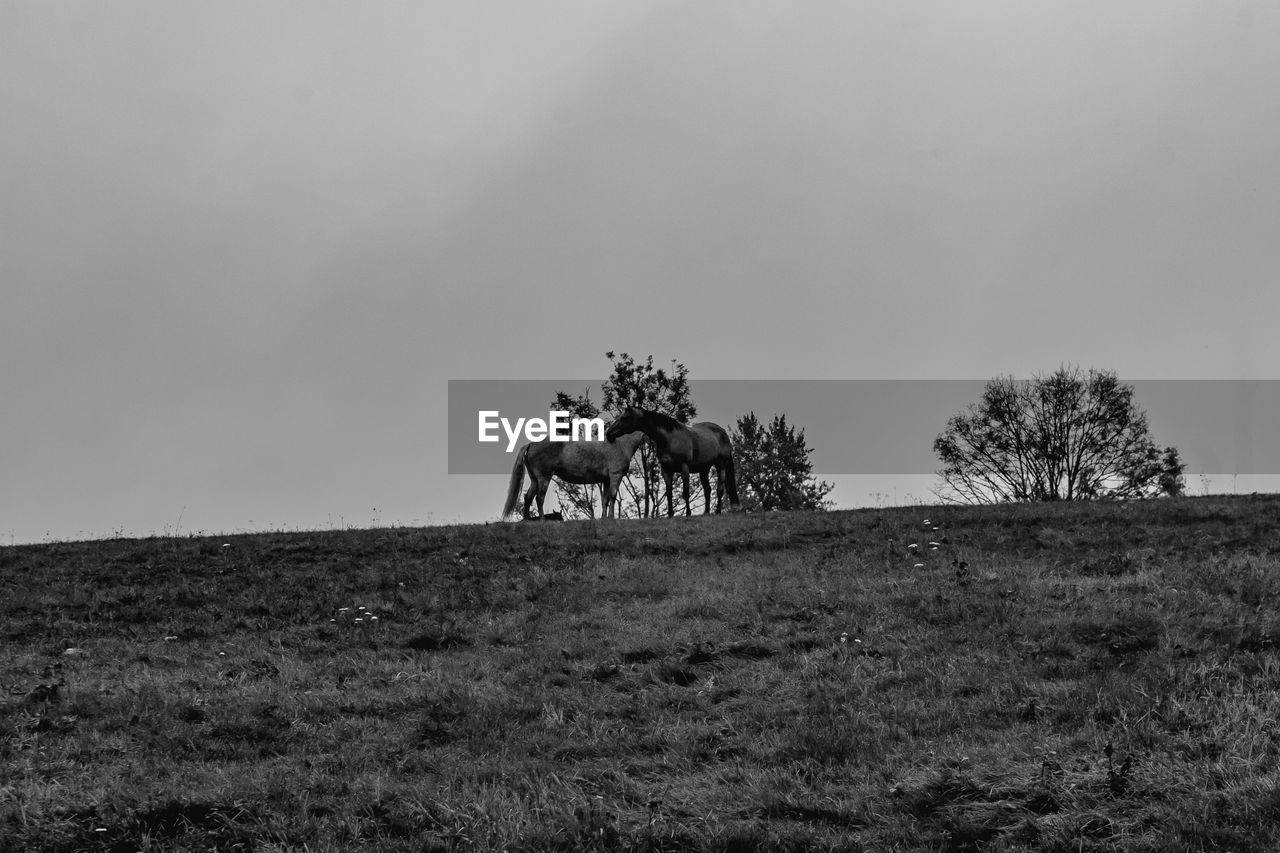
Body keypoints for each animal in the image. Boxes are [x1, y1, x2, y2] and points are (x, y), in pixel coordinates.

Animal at [496, 425, 645, 517]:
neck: (621, 444)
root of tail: (531, 444)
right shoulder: (615, 476)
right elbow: (613, 496)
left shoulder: (606, 479)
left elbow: (606, 500)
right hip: (544, 477)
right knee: (539, 497)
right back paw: (543, 520)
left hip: (535, 479)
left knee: (528, 497)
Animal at [606, 407, 747, 517]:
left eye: (624, 418)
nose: (608, 433)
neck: (668, 439)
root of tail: (722, 432)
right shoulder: (666, 470)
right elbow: (669, 493)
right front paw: (670, 514)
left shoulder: (684, 468)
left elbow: (685, 493)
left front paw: (688, 513)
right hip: (704, 470)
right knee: (708, 490)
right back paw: (706, 512)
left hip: (721, 465)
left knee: (719, 489)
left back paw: (717, 511)